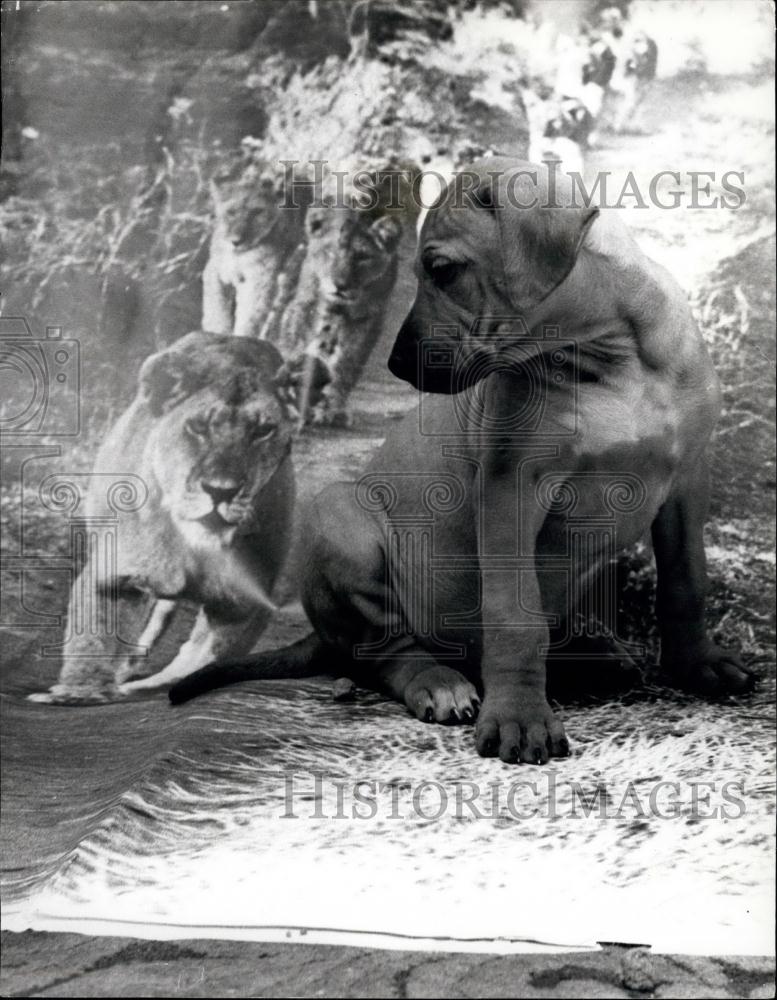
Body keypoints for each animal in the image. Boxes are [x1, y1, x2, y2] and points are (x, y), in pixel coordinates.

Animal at [170, 158, 752, 764]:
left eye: (442, 270)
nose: (398, 364)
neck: (614, 357)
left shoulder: (687, 481)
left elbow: (686, 579)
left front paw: (698, 663)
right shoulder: (510, 491)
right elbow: (515, 620)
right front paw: (520, 716)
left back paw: (589, 656)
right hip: (342, 522)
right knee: (385, 651)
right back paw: (439, 683)